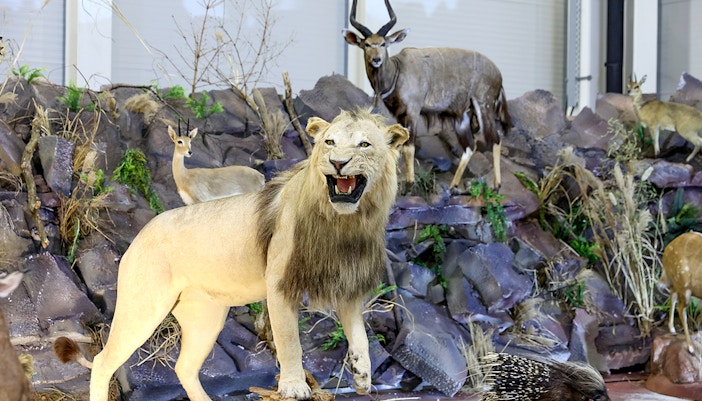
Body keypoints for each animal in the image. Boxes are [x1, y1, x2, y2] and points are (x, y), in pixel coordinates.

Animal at [57, 108, 409, 401]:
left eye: (364, 145)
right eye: (329, 142)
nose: (337, 163)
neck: (345, 223)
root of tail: (139, 235)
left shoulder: (348, 283)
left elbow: (360, 335)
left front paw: (362, 376)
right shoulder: (279, 285)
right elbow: (289, 341)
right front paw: (294, 387)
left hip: (206, 317)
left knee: (184, 368)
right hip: (143, 307)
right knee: (103, 361)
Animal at [342, 0, 511, 192]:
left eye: (384, 44)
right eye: (367, 45)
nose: (376, 60)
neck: (397, 71)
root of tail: (498, 74)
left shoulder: (412, 113)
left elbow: (409, 147)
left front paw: (409, 185)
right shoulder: (400, 115)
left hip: (484, 106)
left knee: (495, 139)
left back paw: (496, 186)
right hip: (462, 117)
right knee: (470, 146)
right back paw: (453, 187)